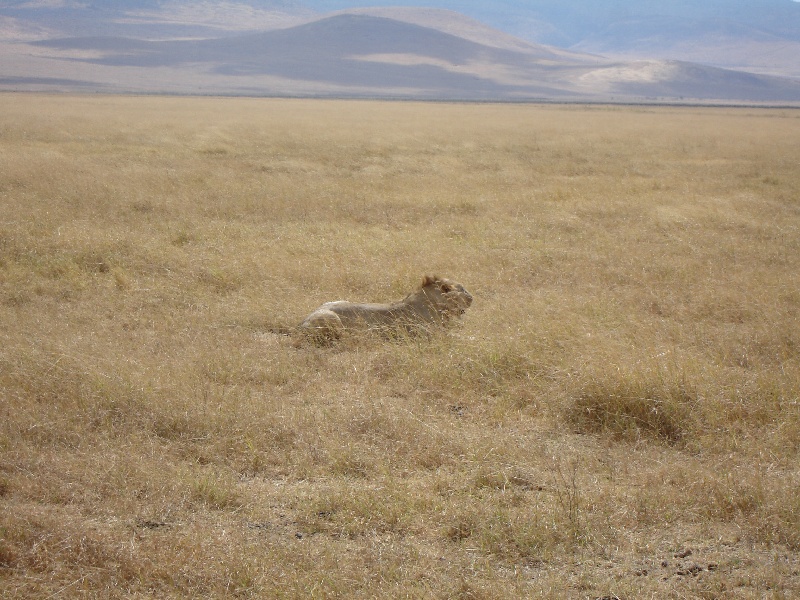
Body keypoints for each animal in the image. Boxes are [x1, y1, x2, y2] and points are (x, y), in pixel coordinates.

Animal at [299, 275, 472, 342]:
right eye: (463, 289)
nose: (472, 298)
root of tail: (302, 322)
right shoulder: (427, 335)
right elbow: (458, 337)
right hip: (331, 318)